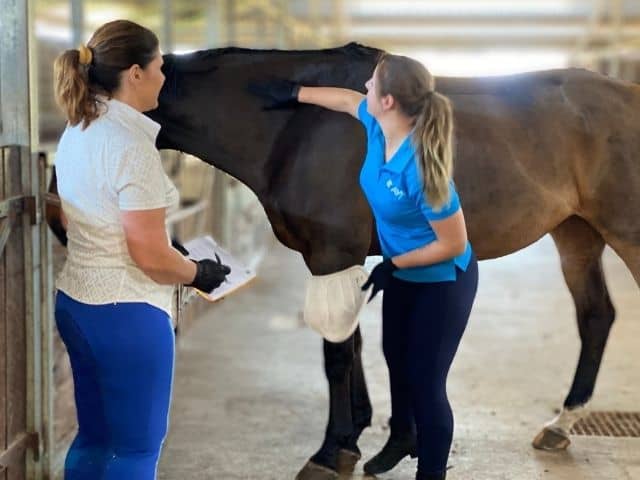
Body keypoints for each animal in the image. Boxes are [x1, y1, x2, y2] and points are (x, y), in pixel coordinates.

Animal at [48, 43, 640, 478]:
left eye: (95, 120)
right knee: (596, 317)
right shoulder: (343, 258)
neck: (292, 126)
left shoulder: (333, 253)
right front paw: (356, 434)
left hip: (623, 232)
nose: (57, 216)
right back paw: (561, 424)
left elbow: (334, 354)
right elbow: (350, 345)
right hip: (576, 232)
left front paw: (331, 451)